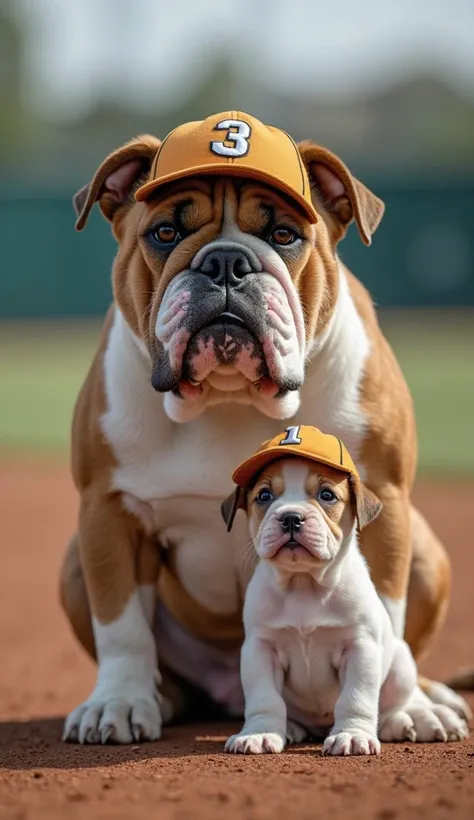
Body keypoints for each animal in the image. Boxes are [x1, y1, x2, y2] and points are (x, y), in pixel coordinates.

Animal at [223, 430, 466, 756]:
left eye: (327, 495)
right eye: (264, 496)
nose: (291, 517)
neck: (304, 585)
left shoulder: (360, 647)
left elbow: (356, 697)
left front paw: (352, 735)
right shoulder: (260, 650)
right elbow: (265, 698)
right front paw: (260, 733)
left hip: (400, 665)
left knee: (393, 702)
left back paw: (399, 722)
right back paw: (291, 728)